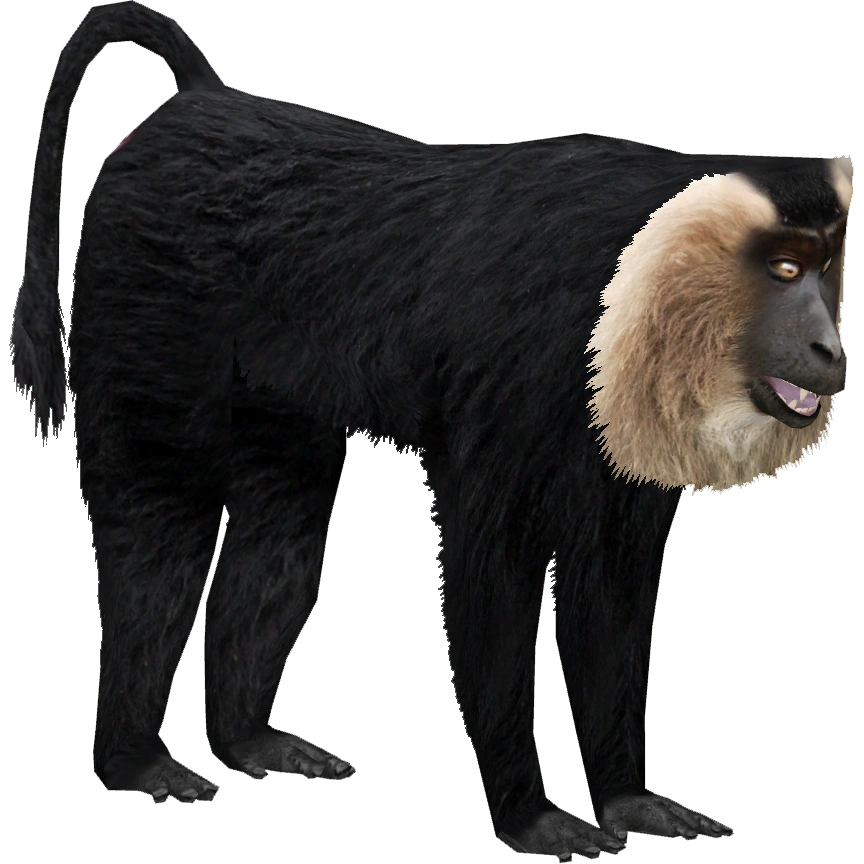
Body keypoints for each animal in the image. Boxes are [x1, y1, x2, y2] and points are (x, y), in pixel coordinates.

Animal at [7, 1, 853, 859]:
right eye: (784, 269)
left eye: (825, 267)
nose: (831, 348)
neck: (627, 279)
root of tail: (194, 105)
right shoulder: (509, 388)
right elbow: (488, 574)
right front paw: (531, 816)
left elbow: (610, 589)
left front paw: (628, 802)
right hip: (149, 302)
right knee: (162, 520)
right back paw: (134, 761)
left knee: (281, 517)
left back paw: (246, 741)